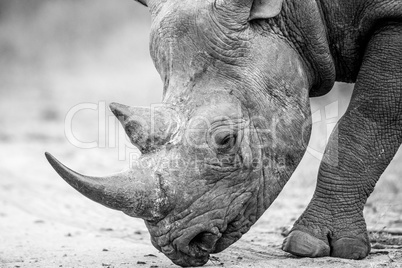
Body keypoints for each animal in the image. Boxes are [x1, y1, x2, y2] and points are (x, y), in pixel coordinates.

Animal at [44, 0, 402, 266]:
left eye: (226, 140)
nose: (179, 247)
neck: (299, 14)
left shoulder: (394, 18)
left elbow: (368, 120)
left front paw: (307, 246)